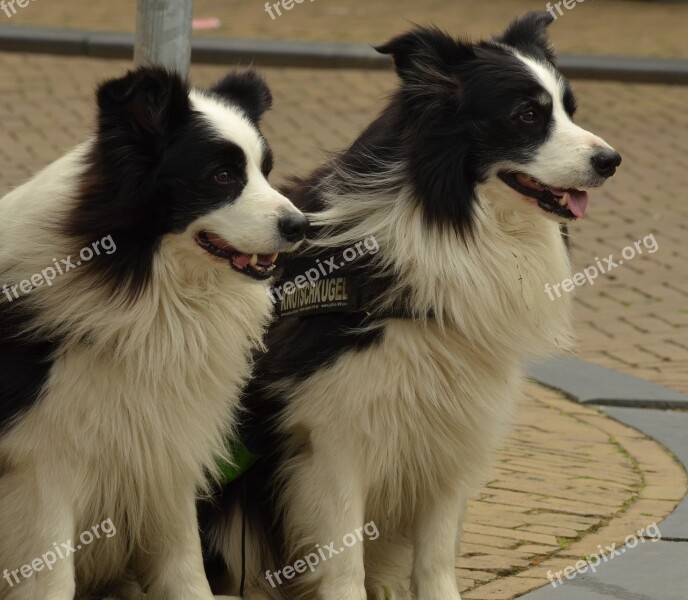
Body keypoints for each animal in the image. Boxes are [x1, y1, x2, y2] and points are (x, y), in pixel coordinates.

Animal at [0, 68, 306, 596]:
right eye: (222, 176)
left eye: (266, 170)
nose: (300, 225)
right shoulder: (42, 461)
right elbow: (52, 574)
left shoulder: (166, 444)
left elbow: (183, 560)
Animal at [200, 10, 624, 600]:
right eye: (527, 115)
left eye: (570, 110)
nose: (611, 161)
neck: (445, 219)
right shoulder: (332, 432)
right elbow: (343, 559)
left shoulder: (453, 425)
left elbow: (437, 554)